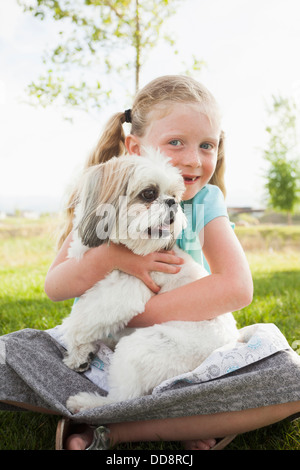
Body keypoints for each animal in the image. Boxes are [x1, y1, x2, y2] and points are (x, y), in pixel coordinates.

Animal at [61, 147, 239, 412]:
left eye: (174, 195)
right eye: (149, 194)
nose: (172, 202)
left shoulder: (123, 293)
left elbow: (79, 322)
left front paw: (75, 348)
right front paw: (82, 354)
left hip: (139, 348)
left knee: (122, 398)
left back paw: (85, 403)